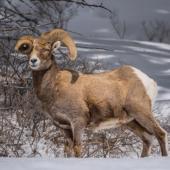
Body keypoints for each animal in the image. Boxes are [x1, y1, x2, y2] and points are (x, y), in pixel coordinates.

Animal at [14, 27, 169, 157]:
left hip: (141, 112)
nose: (33, 61)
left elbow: (77, 148)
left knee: (160, 134)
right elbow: (67, 150)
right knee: (148, 139)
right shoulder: (64, 126)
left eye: (46, 49)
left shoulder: (78, 122)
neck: (54, 87)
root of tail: (147, 80)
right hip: (131, 121)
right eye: (30, 50)